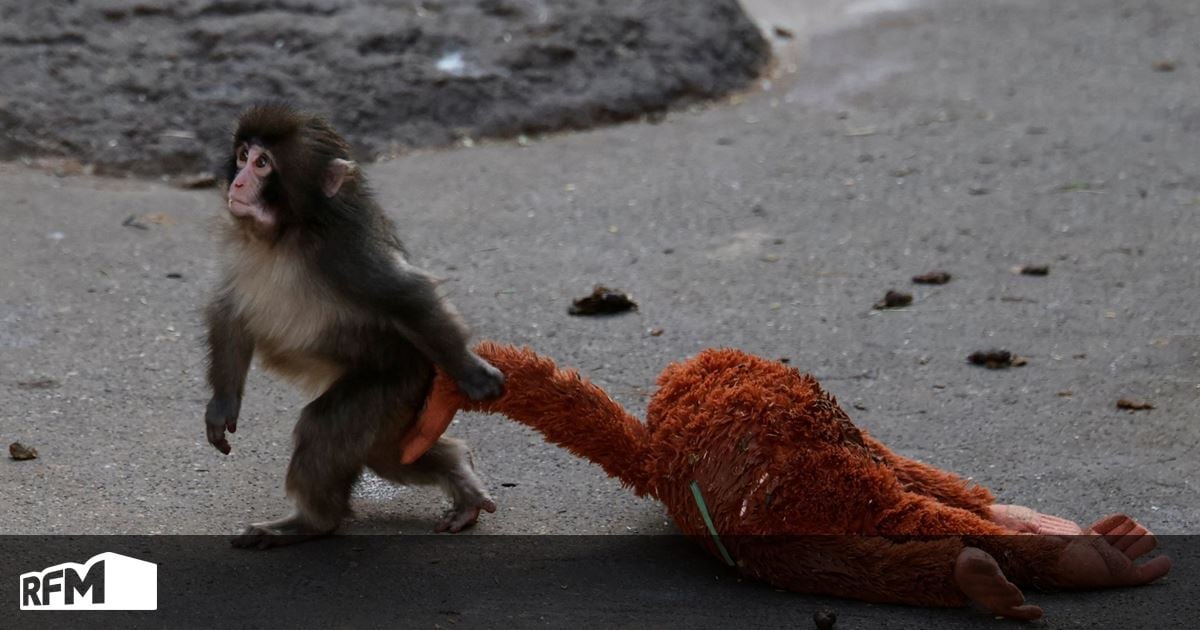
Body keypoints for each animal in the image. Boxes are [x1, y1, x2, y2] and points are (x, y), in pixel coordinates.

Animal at [204, 104, 505, 548]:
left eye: (262, 164)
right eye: (242, 156)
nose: (238, 181)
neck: (286, 234)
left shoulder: (347, 253)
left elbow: (407, 295)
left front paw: (472, 372)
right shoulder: (237, 244)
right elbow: (229, 311)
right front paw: (223, 404)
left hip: (395, 382)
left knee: (326, 428)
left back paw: (312, 522)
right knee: (391, 454)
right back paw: (459, 471)